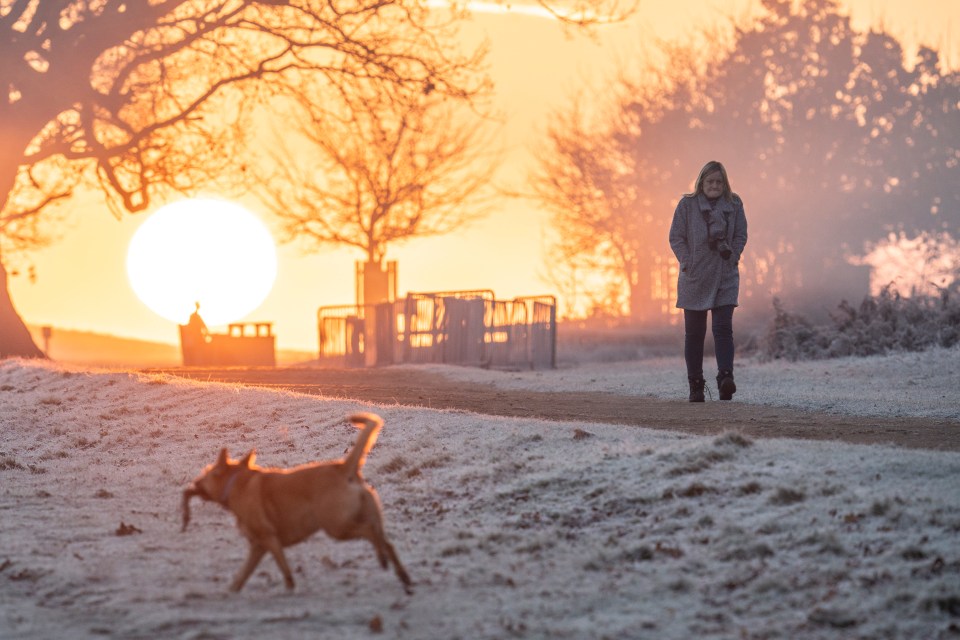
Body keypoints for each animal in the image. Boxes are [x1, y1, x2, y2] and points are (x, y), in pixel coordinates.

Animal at [182, 412, 410, 592]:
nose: (194, 484)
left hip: (336, 526)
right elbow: (243, 574)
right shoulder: (259, 546)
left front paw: (289, 587)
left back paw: (383, 561)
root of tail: (344, 468)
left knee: (370, 533)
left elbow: (283, 568)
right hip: (362, 518)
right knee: (385, 541)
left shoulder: (267, 540)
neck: (237, 482)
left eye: (206, 472)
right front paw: (231, 592)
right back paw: (402, 575)